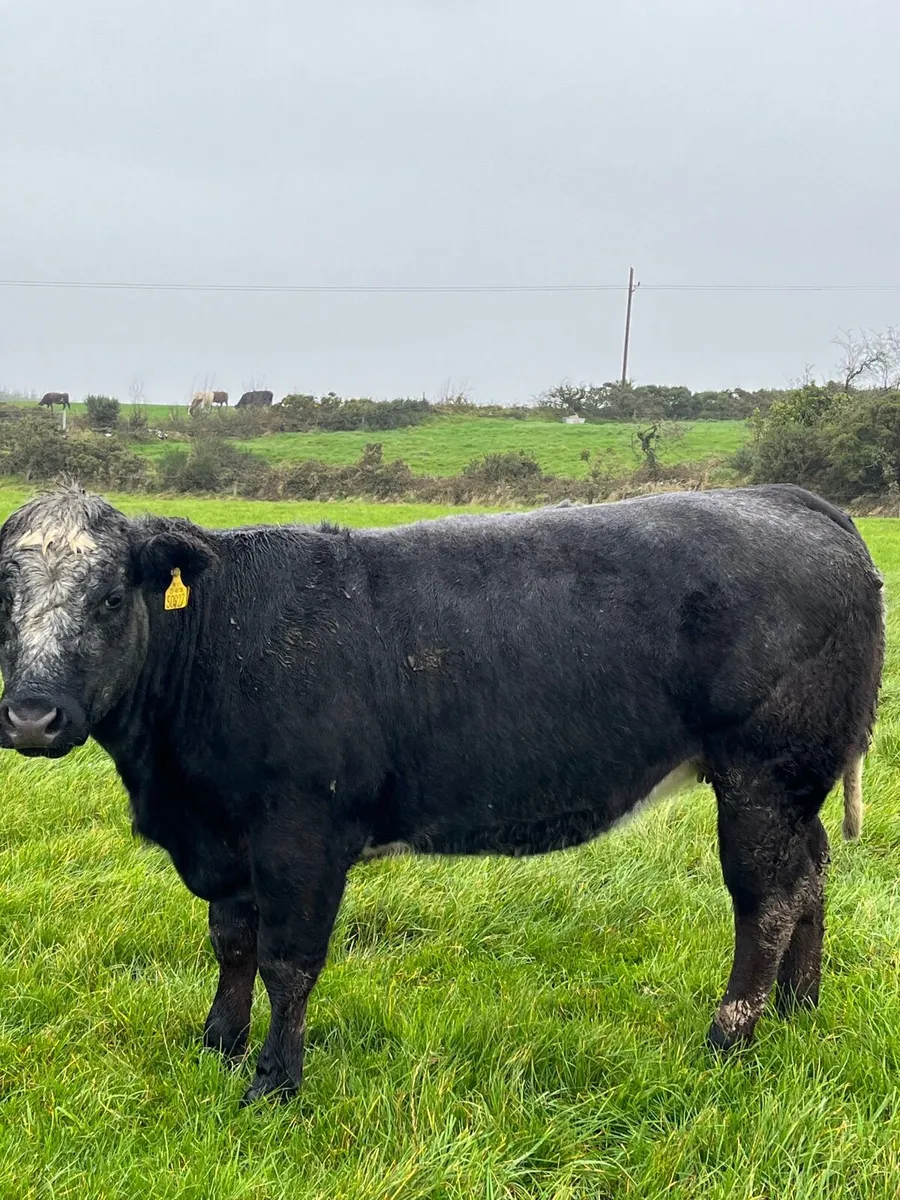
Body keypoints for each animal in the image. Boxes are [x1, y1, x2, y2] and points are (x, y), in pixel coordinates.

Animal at [0, 484, 885, 1108]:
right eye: (4, 602)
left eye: (111, 598)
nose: (32, 716)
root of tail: (789, 500)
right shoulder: (225, 835)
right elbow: (232, 944)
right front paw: (219, 1041)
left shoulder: (301, 836)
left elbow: (289, 962)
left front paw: (274, 1082)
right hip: (791, 789)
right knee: (811, 874)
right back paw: (799, 1009)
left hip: (761, 777)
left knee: (766, 900)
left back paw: (731, 1036)